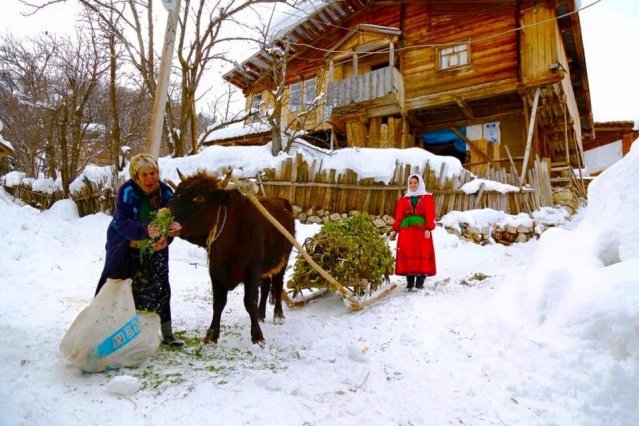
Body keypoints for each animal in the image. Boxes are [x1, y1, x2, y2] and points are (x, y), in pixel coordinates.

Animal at [165, 170, 296, 342]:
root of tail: (282, 201)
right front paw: (212, 334)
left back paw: (278, 315)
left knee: (278, 285)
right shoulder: (215, 271)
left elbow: (250, 301)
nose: (163, 214)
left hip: (282, 260)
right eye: (176, 193)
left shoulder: (252, 270)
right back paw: (261, 314)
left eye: (199, 197)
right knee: (266, 286)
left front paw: (257, 335)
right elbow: (218, 302)